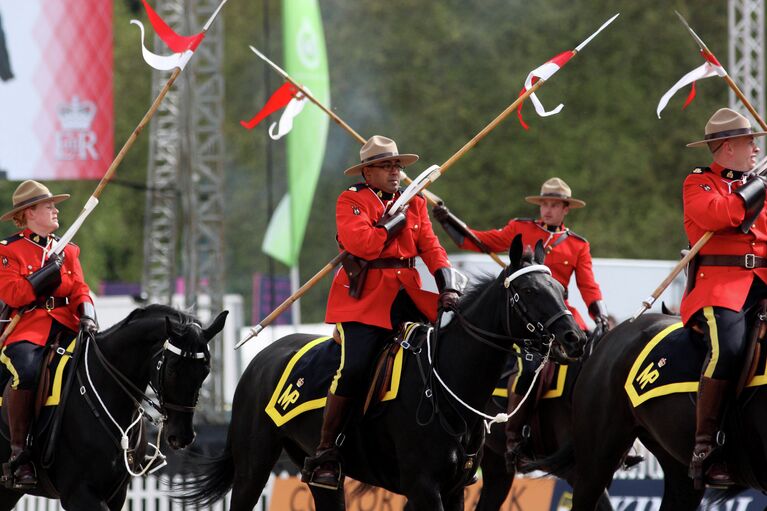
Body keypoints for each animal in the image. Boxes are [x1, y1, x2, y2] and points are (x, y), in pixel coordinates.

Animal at [180, 238, 588, 511]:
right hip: (253, 467)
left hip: (320, 476)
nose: (575, 338)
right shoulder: (424, 488)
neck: (446, 386)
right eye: (527, 290)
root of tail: (262, 358)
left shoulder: (454, 488)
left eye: (561, 288)